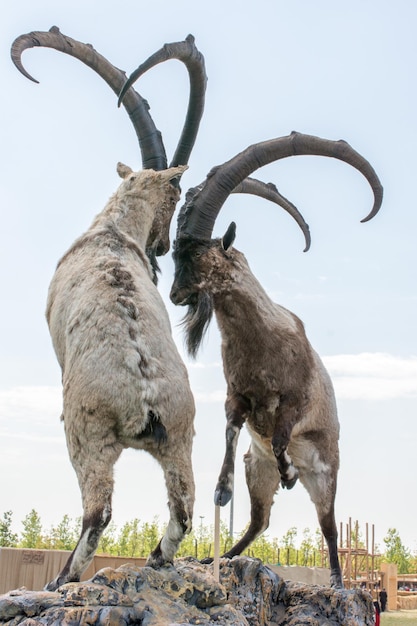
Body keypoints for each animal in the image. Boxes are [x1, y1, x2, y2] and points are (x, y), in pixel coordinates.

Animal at [170, 132, 384, 584]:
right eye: (175, 253)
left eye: (196, 255)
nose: (176, 295)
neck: (263, 343)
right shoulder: (238, 396)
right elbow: (231, 430)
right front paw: (221, 489)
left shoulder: (294, 400)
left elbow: (284, 435)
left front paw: (288, 472)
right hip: (257, 469)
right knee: (260, 520)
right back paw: (218, 558)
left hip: (326, 475)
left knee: (328, 526)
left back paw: (336, 578)